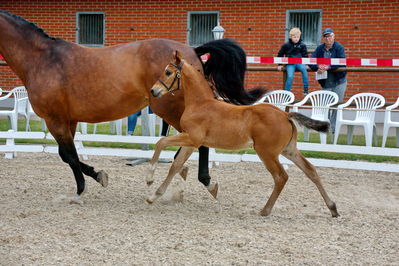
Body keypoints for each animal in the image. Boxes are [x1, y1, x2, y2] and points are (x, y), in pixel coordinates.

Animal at [147, 51, 340, 217]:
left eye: (168, 72)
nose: (153, 91)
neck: (201, 103)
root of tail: (285, 115)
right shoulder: (193, 143)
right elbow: (176, 165)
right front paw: (154, 196)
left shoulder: (191, 138)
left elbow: (161, 142)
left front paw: (150, 178)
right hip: (289, 150)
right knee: (310, 170)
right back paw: (333, 208)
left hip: (267, 153)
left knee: (281, 177)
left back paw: (265, 210)